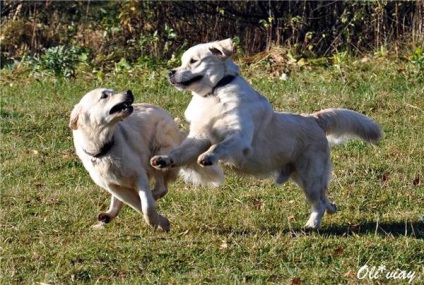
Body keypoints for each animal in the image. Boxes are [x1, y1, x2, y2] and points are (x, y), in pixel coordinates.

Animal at [69, 88, 222, 231]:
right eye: (104, 95)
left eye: (113, 91)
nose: (128, 91)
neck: (105, 148)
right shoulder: (112, 186)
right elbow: (137, 204)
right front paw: (160, 221)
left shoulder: (139, 175)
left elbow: (146, 206)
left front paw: (158, 221)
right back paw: (108, 216)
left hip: (156, 155)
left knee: (161, 188)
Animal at [151, 38, 382, 229]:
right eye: (182, 61)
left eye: (193, 61)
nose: (170, 72)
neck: (215, 93)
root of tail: (313, 119)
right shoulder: (199, 137)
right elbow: (180, 151)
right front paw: (163, 159)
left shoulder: (240, 137)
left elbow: (220, 145)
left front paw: (208, 156)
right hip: (302, 177)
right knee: (325, 200)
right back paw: (331, 209)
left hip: (310, 177)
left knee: (318, 203)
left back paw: (312, 225)